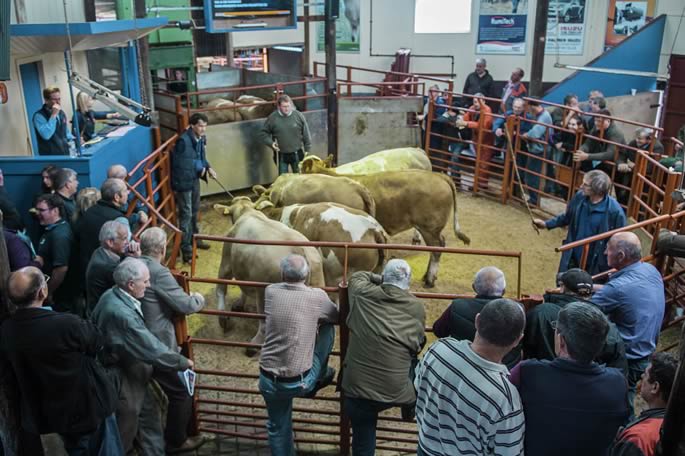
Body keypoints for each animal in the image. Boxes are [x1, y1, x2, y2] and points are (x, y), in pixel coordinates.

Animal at [214, 197, 326, 356]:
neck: (248, 212)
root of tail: (299, 251)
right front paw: (239, 303)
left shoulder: (227, 259)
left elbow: (221, 287)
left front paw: (222, 318)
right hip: (318, 283)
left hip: (264, 292)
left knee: (264, 323)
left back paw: (253, 346)